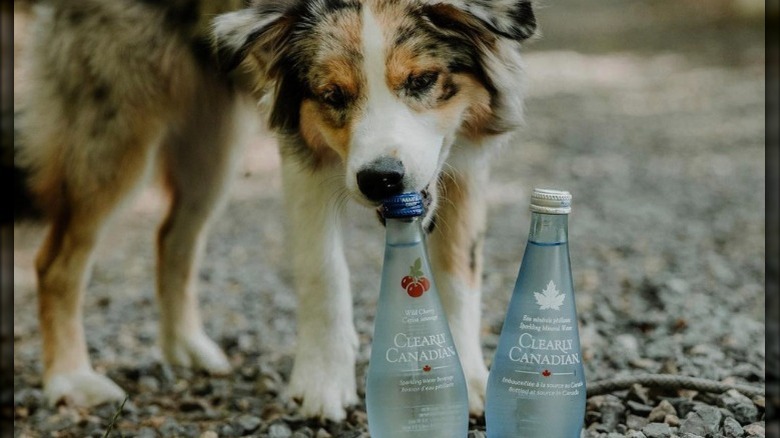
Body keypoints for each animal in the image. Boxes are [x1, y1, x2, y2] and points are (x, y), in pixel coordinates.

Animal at [16, 0, 536, 420]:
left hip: (213, 148)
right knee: (56, 262)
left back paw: (185, 347)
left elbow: (459, 271)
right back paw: (70, 380)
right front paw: (322, 384)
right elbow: (324, 273)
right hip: (118, 126)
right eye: (333, 96)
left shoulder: (465, 157)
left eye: (423, 80)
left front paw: (468, 379)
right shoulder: (305, 149)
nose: (379, 180)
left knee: (172, 237)